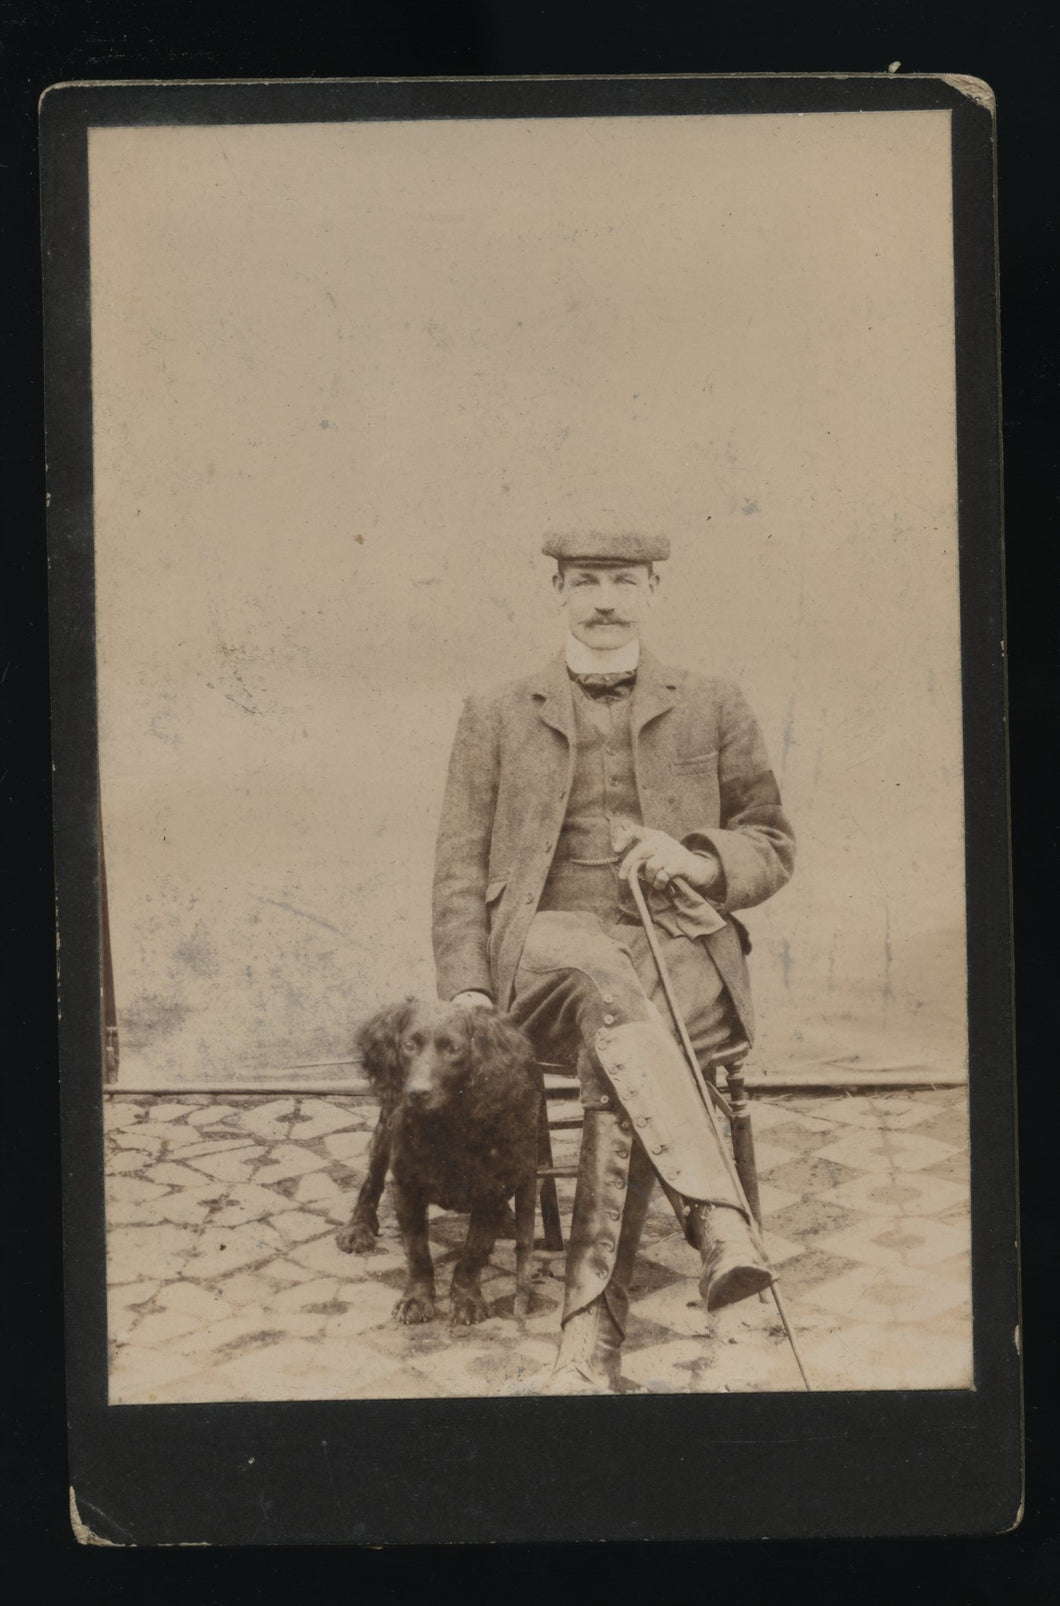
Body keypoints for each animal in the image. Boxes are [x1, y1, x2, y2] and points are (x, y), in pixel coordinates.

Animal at [337, 1002, 539, 1329]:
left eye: (454, 1050)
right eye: (408, 1045)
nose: (417, 1093)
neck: (447, 1127)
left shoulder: (491, 1193)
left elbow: (473, 1252)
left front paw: (467, 1299)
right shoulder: (407, 1187)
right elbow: (418, 1253)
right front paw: (416, 1300)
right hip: (385, 1129)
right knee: (372, 1180)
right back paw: (359, 1227)